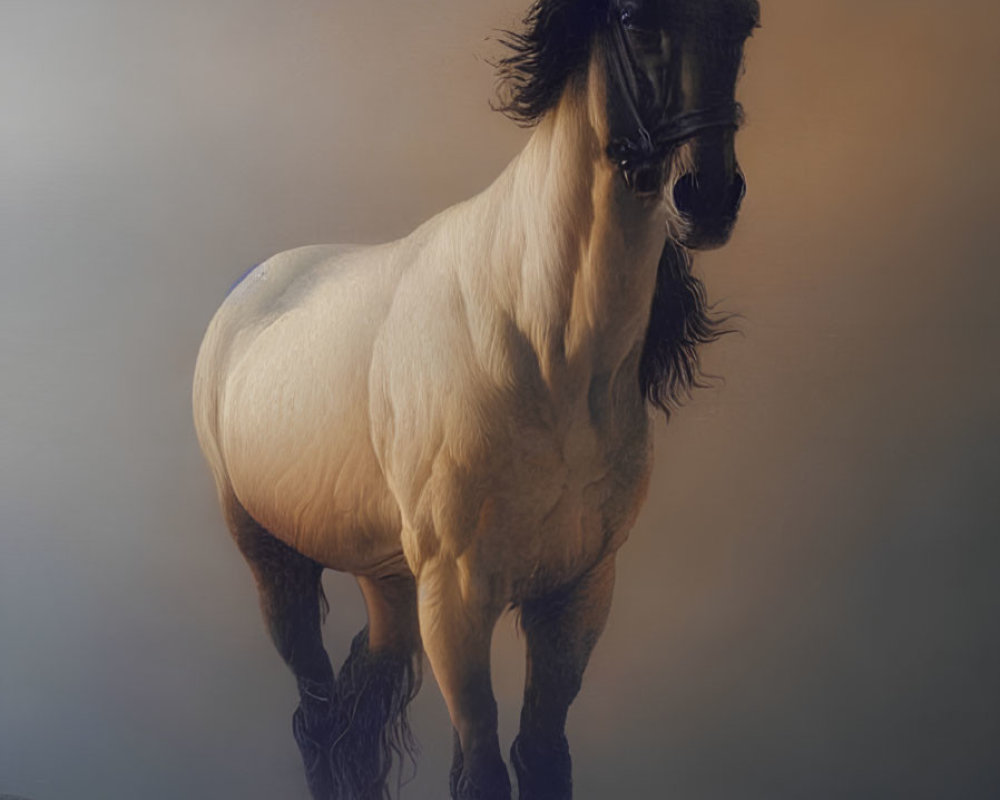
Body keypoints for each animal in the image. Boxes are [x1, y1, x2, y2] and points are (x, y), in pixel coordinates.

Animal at [193, 1, 756, 800]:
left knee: (361, 711)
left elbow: (542, 754)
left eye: (745, 24)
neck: (543, 347)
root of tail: (254, 286)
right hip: (273, 559)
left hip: (387, 578)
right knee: (320, 713)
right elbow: (483, 765)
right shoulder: (458, 598)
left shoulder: (579, 591)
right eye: (634, 20)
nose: (706, 196)